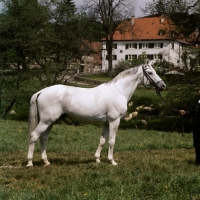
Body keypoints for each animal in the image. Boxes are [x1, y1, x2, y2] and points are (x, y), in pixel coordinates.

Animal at [26, 60, 166, 166]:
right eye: (150, 72)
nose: (163, 86)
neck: (118, 91)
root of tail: (41, 91)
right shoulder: (114, 121)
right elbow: (111, 141)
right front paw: (112, 161)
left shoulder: (106, 123)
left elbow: (102, 140)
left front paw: (97, 159)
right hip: (46, 121)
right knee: (34, 136)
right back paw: (30, 162)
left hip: (50, 122)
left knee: (43, 138)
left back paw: (46, 162)